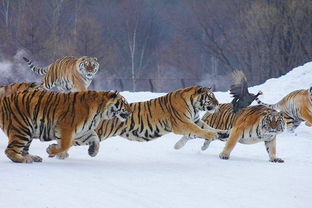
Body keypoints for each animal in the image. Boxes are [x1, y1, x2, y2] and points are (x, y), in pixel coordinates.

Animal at [0, 88, 130, 163]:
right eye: (124, 103)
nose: (130, 112)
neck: (100, 113)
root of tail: (4, 99)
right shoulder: (66, 127)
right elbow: (65, 145)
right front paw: (51, 150)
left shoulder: (82, 131)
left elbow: (95, 138)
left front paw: (93, 151)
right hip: (22, 128)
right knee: (10, 150)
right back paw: (23, 160)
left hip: (28, 132)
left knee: (23, 150)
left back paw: (33, 158)